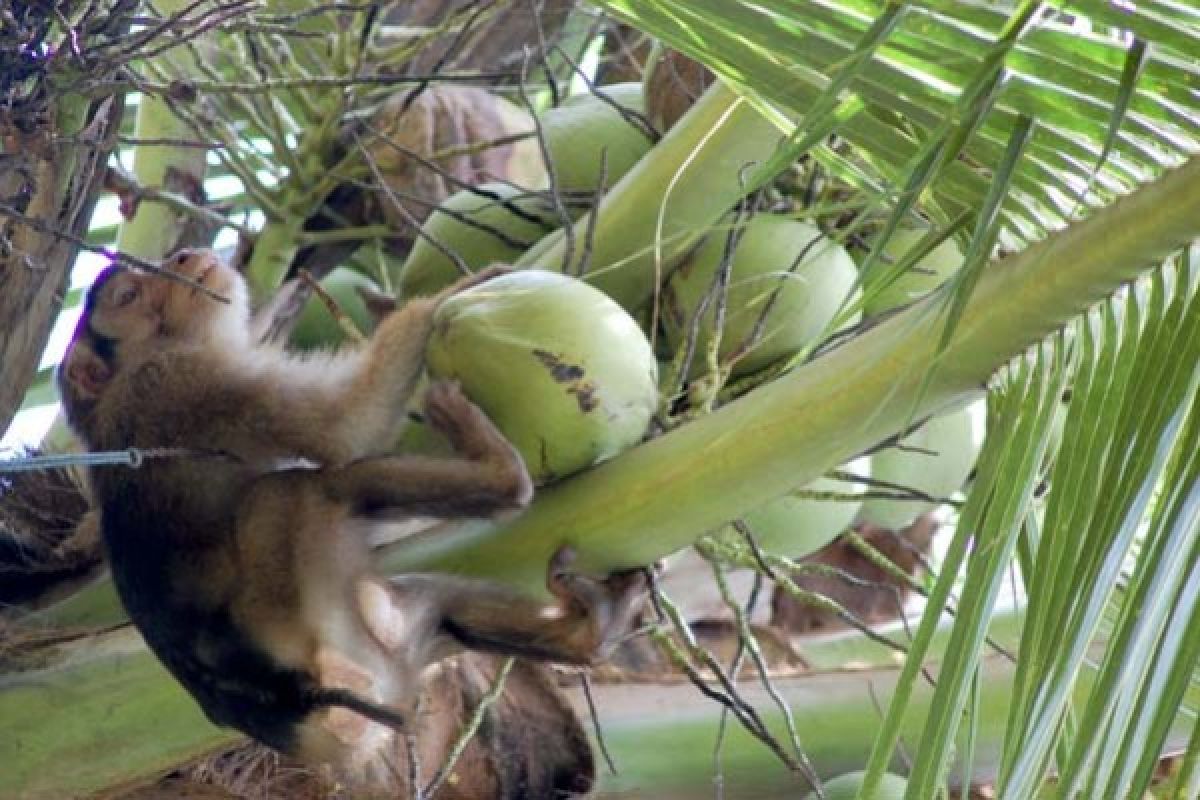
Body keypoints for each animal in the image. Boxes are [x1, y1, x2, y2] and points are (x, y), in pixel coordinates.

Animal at [58, 251, 648, 782]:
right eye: (128, 296)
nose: (184, 255)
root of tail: (298, 709)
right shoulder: (184, 379)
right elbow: (339, 428)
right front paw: (441, 304)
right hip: (315, 614)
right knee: (292, 491)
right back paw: (502, 477)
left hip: (378, 666)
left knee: (428, 612)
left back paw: (587, 630)